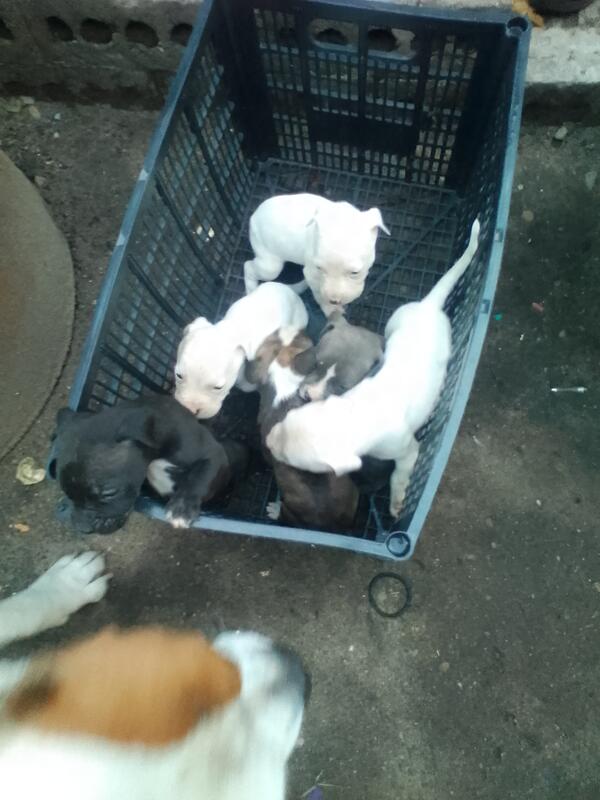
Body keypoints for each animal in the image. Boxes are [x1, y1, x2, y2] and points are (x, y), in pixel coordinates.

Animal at [49, 395, 248, 533]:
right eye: (67, 493)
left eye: (109, 493)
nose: (82, 528)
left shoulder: (213, 455)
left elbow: (199, 477)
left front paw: (181, 508)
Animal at [243, 194, 390, 316]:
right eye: (319, 268)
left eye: (355, 273)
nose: (334, 301)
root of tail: (253, 216)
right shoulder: (311, 274)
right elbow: (319, 294)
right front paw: (330, 309)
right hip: (269, 266)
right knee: (249, 266)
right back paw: (251, 291)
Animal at [267, 220, 481, 518]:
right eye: (289, 418)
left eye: (295, 460)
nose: (267, 442)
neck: (358, 415)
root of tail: (428, 306)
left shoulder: (406, 450)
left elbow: (401, 473)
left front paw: (397, 502)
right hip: (394, 322)